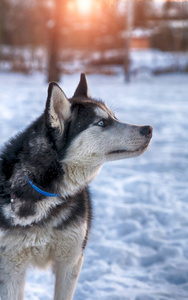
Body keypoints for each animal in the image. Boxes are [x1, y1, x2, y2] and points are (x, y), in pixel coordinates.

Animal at [0, 73, 152, 300]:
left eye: (114, 117)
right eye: (101, 123)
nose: (148, 129)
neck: (46, 191)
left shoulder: (71, 262)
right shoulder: (11, 267)